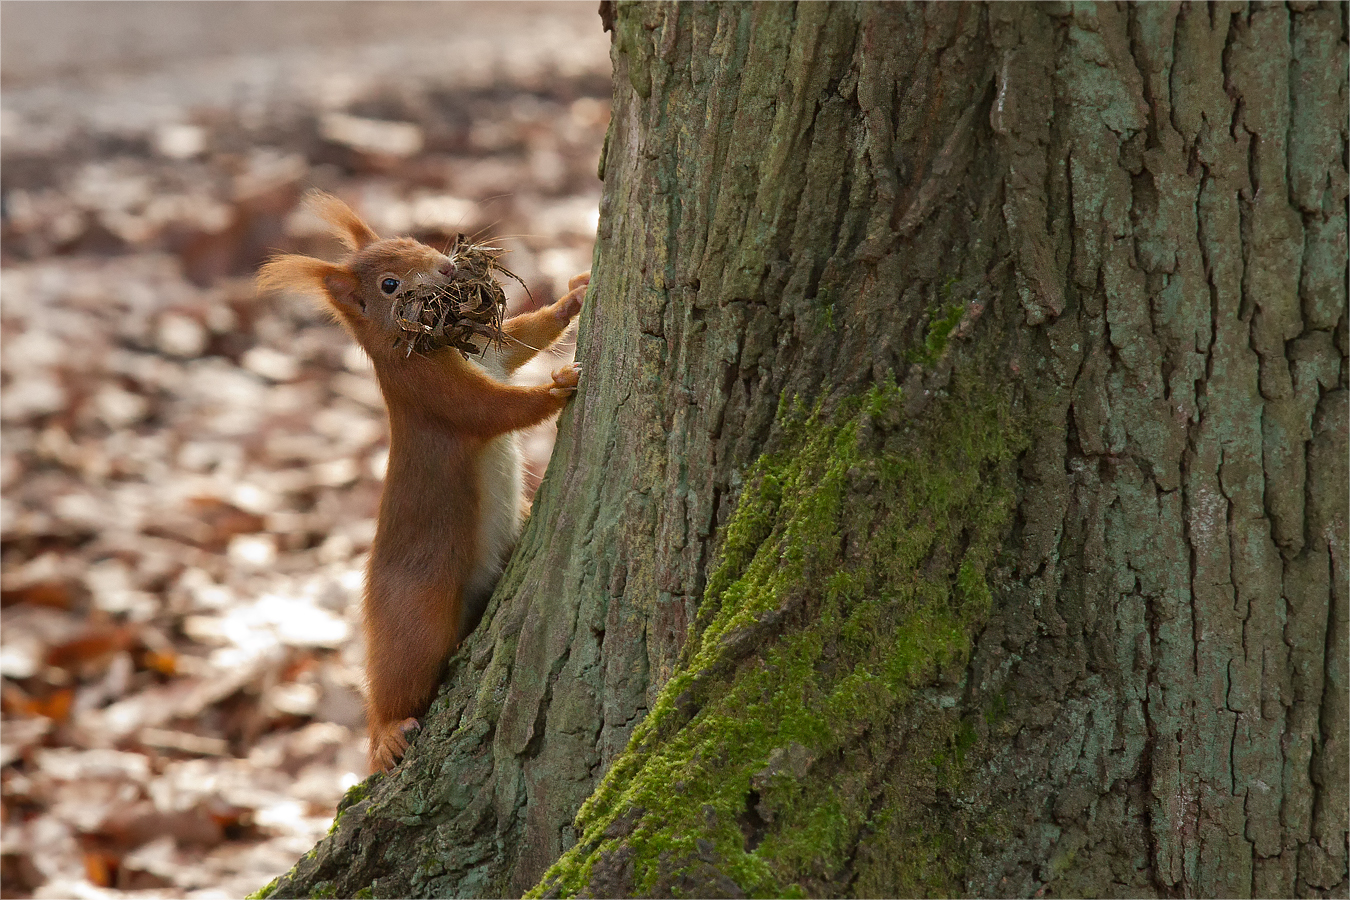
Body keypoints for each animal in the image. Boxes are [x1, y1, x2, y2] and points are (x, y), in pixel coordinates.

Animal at [257, 191, 585, 777]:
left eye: (412, 241)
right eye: (390, 285)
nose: (450, 267)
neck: (418, 350)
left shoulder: (487, 354)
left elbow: (521, 338)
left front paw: (575, 295)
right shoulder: (435, 394)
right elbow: (497, 409)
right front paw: (557, 386)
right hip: (418, 616)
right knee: (398, 682)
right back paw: (385, 735)